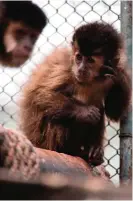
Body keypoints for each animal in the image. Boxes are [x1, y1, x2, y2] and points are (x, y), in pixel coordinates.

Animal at [19, 22, 132, 166]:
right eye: (79, 57)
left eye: (90, 60)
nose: (81, 68)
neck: (95, 78)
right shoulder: (67, 66)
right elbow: (40, 94)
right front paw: (85, 111)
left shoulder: (111, 71)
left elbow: (114, 112)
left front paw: (118, 75)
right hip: (44, 141)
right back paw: (70, 150)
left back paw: (93, 152)